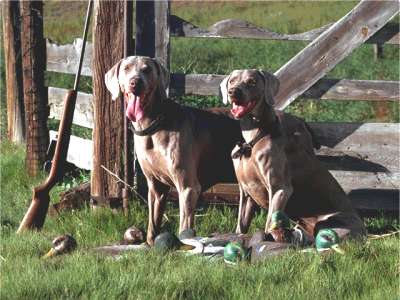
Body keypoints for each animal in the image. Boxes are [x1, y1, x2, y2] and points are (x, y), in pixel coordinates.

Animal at [104, 56, 241, 246]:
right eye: (126, 68)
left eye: (147, 70)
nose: (135, 82)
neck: (153, 125)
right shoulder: (155, 186)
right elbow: (153, 223)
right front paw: (150, 244)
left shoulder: (188, 188)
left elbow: (184, 226)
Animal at [219, 69, 366, 241]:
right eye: (232, 81)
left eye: (252, 82)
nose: (233, 92)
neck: (253, 141)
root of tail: (365, 231)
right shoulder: (246, 192)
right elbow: (241, 226)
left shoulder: (280, 189)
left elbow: (269, 222)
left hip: (329, 223)